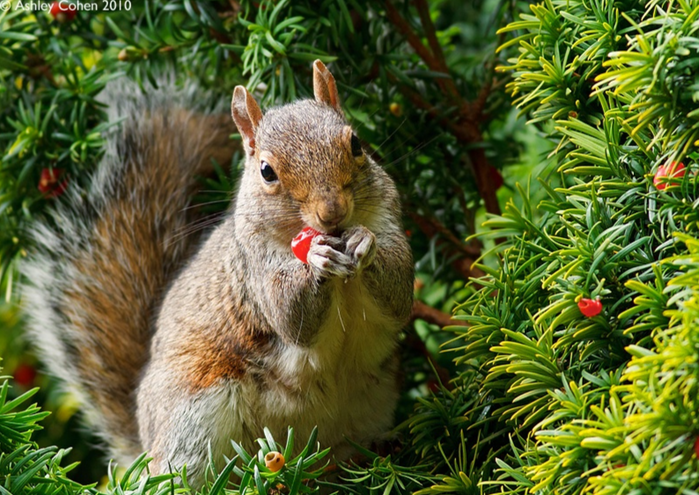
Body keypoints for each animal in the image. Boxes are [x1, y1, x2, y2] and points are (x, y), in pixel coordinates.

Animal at [23, 60, 416, 486]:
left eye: (356, 143)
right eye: (266, 171)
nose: (332, 213)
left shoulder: (389, 218)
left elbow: (399, 290)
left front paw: (363, 241)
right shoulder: (253, 273)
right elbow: (290, 316)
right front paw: (315, 257)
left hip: (374, 398)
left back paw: (374, 451)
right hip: (193, 411)